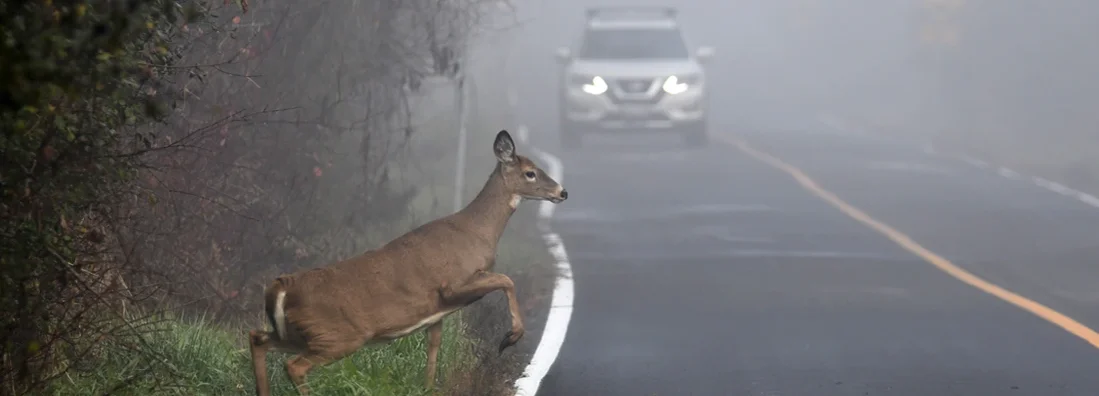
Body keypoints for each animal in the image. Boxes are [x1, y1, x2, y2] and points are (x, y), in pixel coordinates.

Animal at [247, 130, 567, 396]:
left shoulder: (437, 312)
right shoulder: (452, 284)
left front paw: (428, 389)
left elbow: (433, 350)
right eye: (530, 173)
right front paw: (510, 337)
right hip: (338, 335)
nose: (562, 192)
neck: (477, 232)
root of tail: (282, 287)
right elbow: (506, 279)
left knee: (258, 338)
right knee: (294, 365)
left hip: (300, 333)